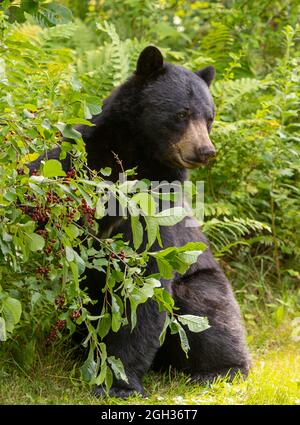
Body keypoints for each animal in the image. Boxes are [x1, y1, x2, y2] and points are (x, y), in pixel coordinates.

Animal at [29, 44, 251, 396]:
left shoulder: (157, 206)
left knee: (211, 316)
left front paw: (119, 383)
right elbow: (43, 175)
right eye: (182, 114)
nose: (205, 150)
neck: (134, 154)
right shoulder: (80, 158)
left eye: (210, 117)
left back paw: (220, 371)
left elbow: (146, 282)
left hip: (203, 282)